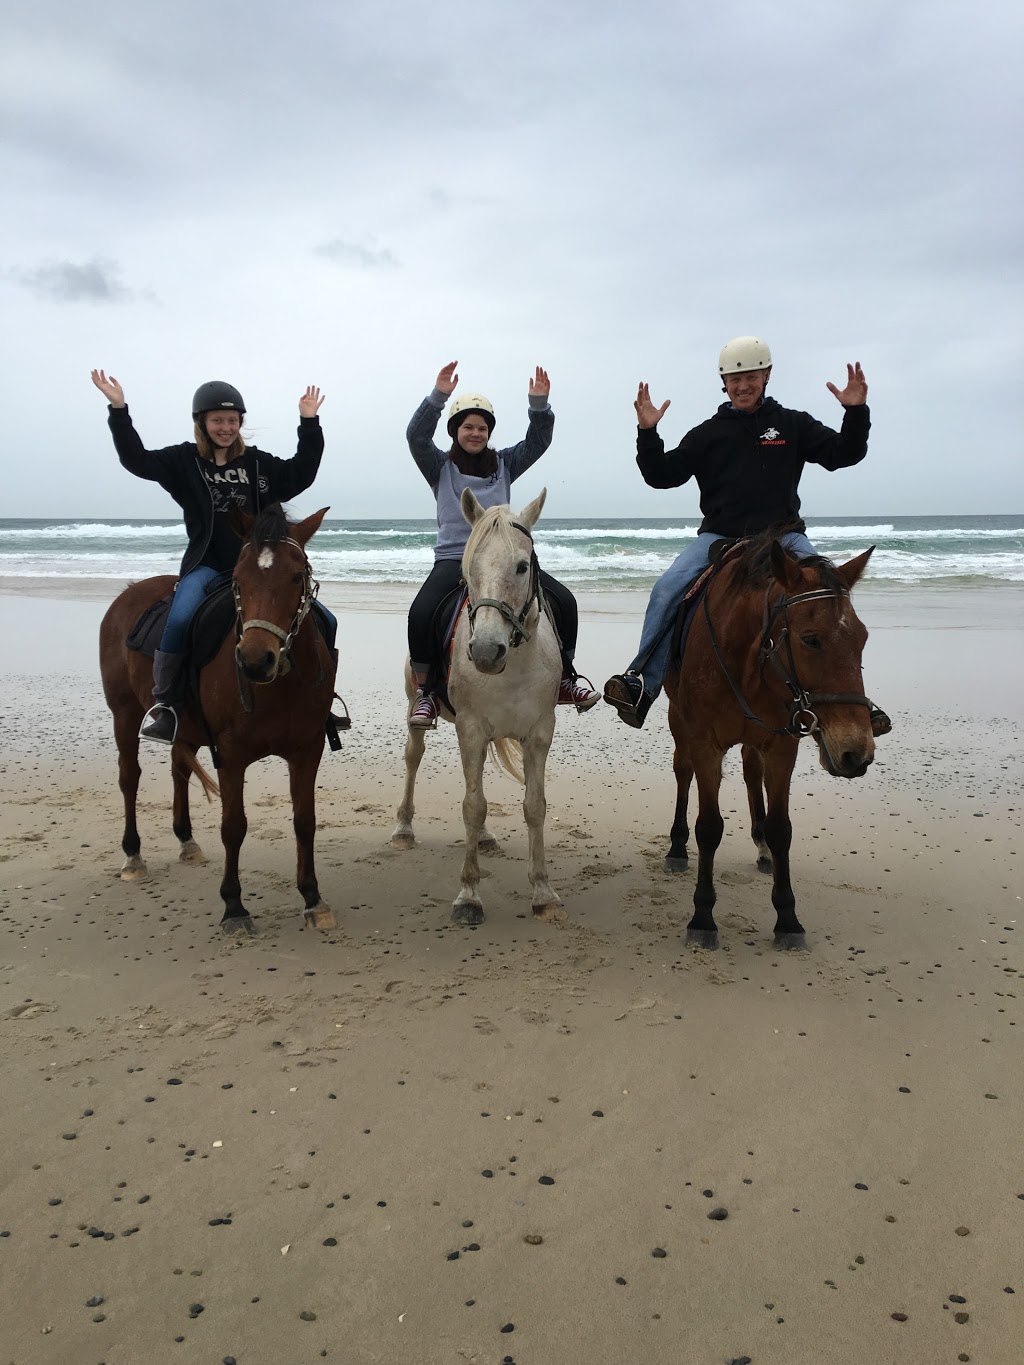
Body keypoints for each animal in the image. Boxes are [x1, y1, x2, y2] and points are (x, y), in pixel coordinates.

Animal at [97, 507, 337, 933]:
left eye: (297, 576)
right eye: (238, 579)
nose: (255, 661)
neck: (279, 684)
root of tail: (129, 592)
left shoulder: (307, 750)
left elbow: (305, 821)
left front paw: (312, 898)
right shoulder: (231, 755)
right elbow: (234, 826)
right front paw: (234, 906)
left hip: (185, 729)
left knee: (178, 769)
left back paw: (186, 840)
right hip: (123, 713)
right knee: (129, 778)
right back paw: (133, 855)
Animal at [387, 491, 565, 928]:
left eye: (522, 566)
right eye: (468, 570)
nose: (485, 650)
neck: (514, 664)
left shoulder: (540, 732)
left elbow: (534, 806)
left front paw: (543, 892)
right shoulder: (469, 729)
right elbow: (472, 805)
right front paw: (469, 895)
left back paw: (484, 837)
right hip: (415, 707)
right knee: (413, 756)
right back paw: (403, 828)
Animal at [669, 532, 879, 950]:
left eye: (862, 638)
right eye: (811, 640)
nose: (856, 752)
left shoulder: (783, 746)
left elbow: (782, 828)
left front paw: (788, 919)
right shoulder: (704, 744)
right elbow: (709, 827)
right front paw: (703, 917)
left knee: (752, 773)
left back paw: (762, 847)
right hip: (678, 723)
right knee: (682, 772)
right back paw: (677, 847)